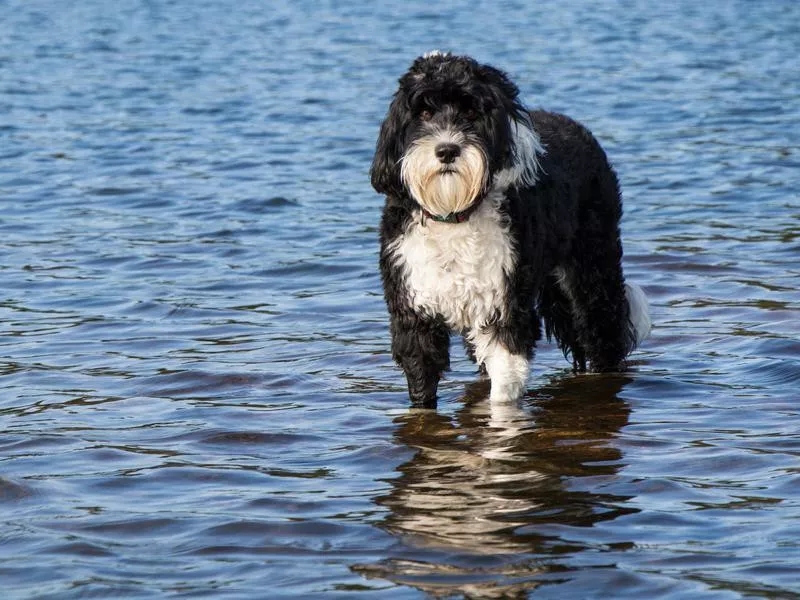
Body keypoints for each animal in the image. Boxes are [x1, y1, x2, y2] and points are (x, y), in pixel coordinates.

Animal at [368, 51, 648, 408]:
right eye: (425, 112)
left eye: (471, 112)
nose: (447, 150)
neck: (455, 213)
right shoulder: (414, 314)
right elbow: (421, 382)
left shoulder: (505, 308)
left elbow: (503, 389)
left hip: (591, 271)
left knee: (603, 331)